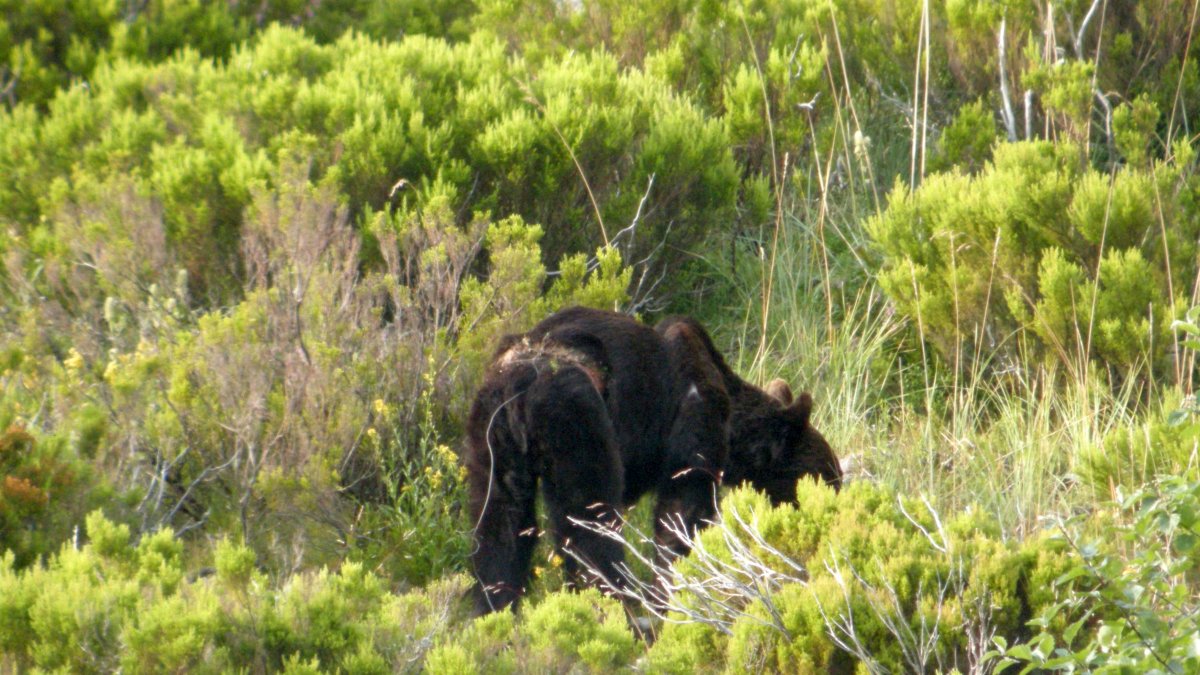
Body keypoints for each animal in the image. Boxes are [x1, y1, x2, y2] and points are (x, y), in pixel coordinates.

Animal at [463, 306, 842, 614]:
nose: (831, 502)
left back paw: (494, 611)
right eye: (825, 475)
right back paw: (613, 603)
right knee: (590, 525)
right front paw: (673, 590)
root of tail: (520, 386)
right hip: (575, 418)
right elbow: (682, 510)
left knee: (500, 527)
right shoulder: (694, 415)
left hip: (491, 435)